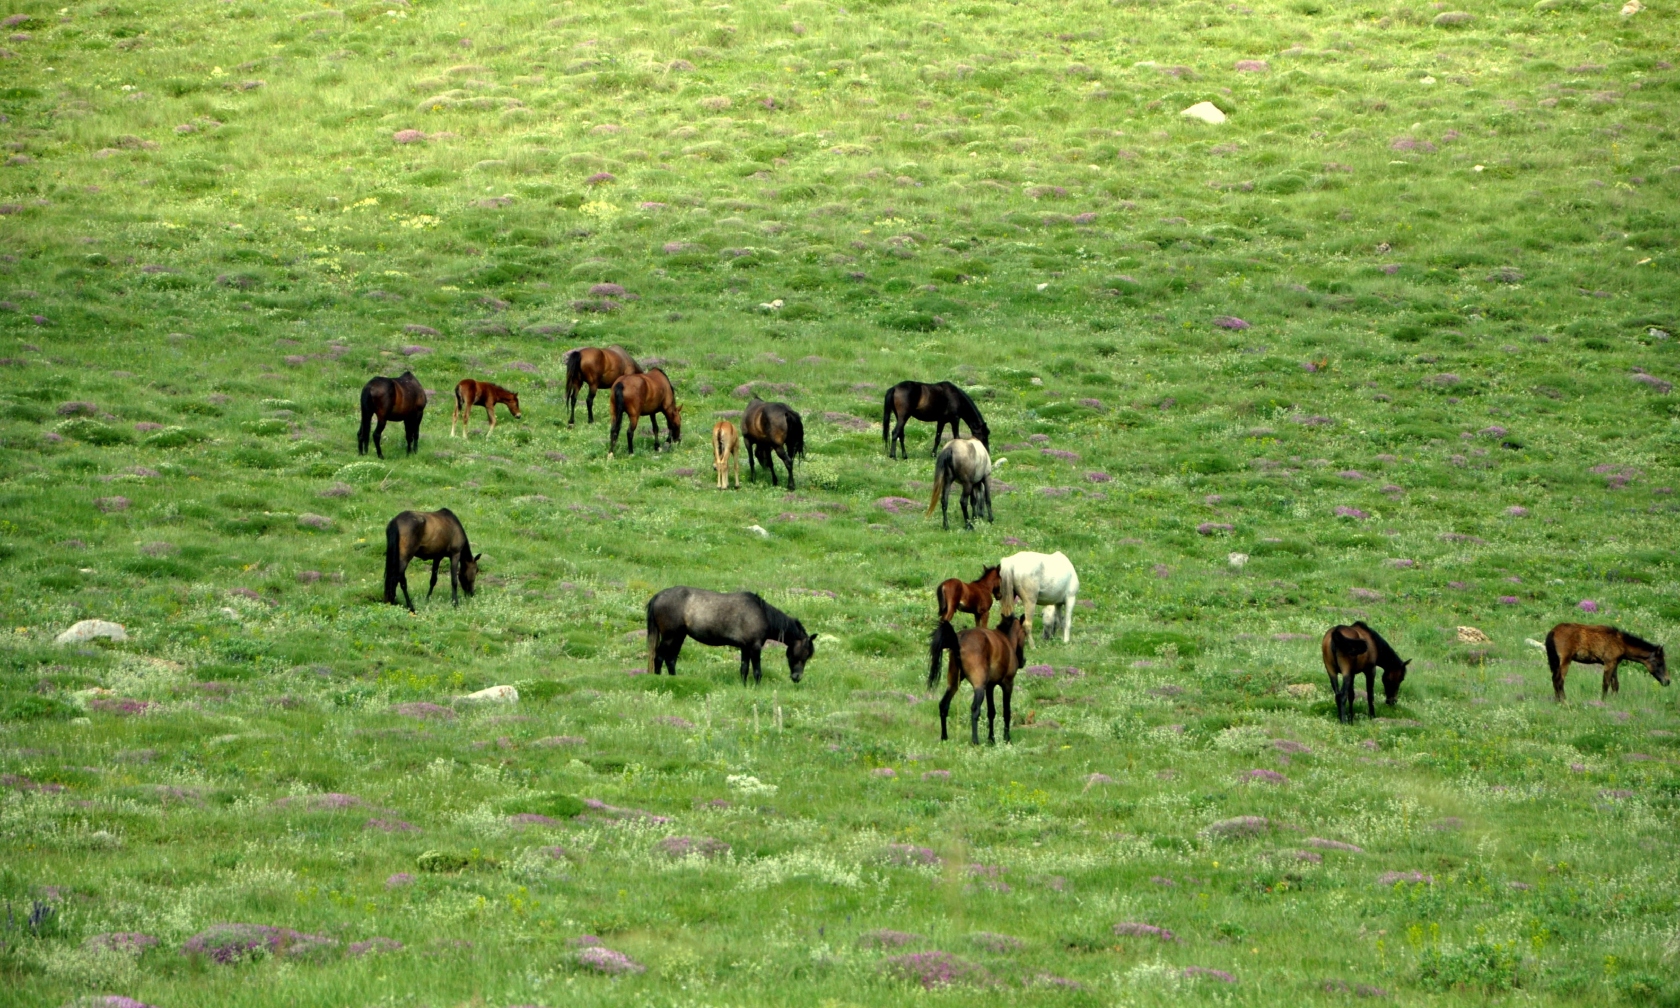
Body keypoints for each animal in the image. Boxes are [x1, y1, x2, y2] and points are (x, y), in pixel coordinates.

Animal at [645, 581, 816, 685]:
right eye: (804, 654)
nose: (797, 678)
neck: (762, 614)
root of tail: (657, 596)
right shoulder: (755, 647)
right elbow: (757, 671)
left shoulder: (745, 647)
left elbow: (744, 669)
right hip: (670, 637)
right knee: (659, 657)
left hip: (679, 637)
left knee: (671, 660)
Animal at [927, 611, 1028, 742]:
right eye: (1024, 634)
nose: (1023, 661)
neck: (1006, 641)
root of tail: (959, 641)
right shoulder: (1007, 683)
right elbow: (1006, 712)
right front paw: (1006, 738)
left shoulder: (990, 686)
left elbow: (991, 712)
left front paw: (991, 739)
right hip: (979, 687)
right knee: (975, 709)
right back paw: (975, 741)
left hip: (953, 683)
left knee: (943, 705)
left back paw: (944, 737)